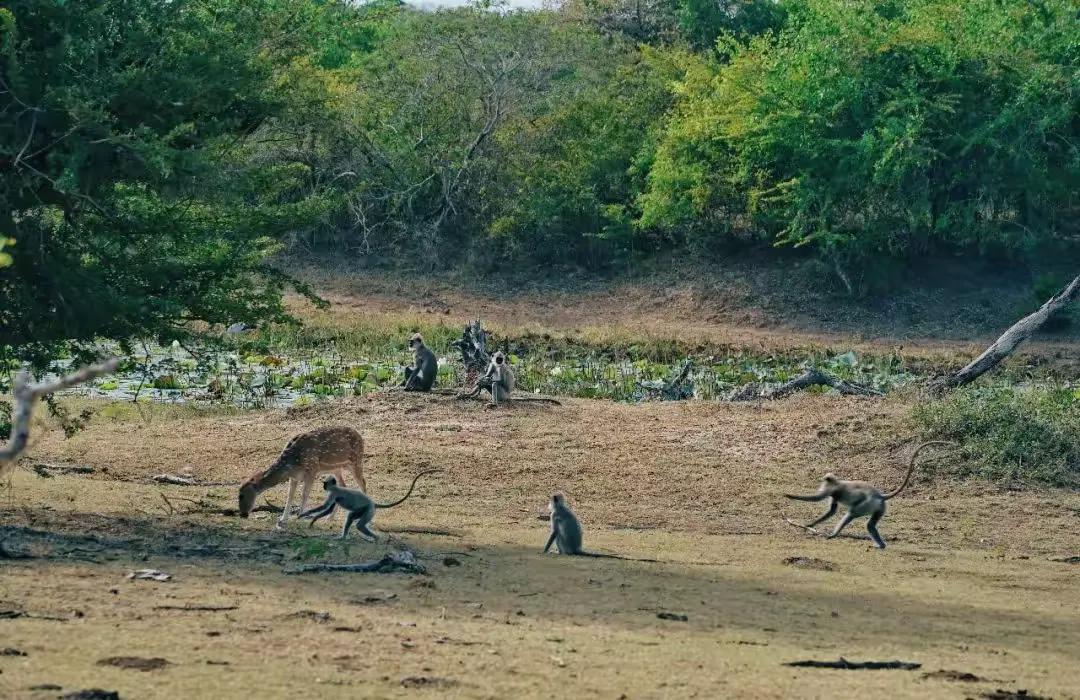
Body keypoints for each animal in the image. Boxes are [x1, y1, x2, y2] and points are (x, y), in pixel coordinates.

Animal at [295, 470, 438, 542]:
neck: (336, 487)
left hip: (369, 510)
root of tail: (373, 503)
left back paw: (376, 538)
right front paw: (313, 520)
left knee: (359, 524)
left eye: (325, 483)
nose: (323, 486)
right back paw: (345, 537)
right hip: (365, 510)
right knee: (351, 517)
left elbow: (325, 507)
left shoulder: (333, 493)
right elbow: (328, 509)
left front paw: (304, 515)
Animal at [786, 442, 954, 546]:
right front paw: (810, 524)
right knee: (870, 525)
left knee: (852, 513)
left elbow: (817, 499)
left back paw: (833, 535)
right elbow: (831, 511)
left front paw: (789, 496)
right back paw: (881, 545)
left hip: (866, 504)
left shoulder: (832, 490)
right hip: (880, 507)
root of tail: (879, 496)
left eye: (824, 483)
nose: (821, 483)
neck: (837, 482)